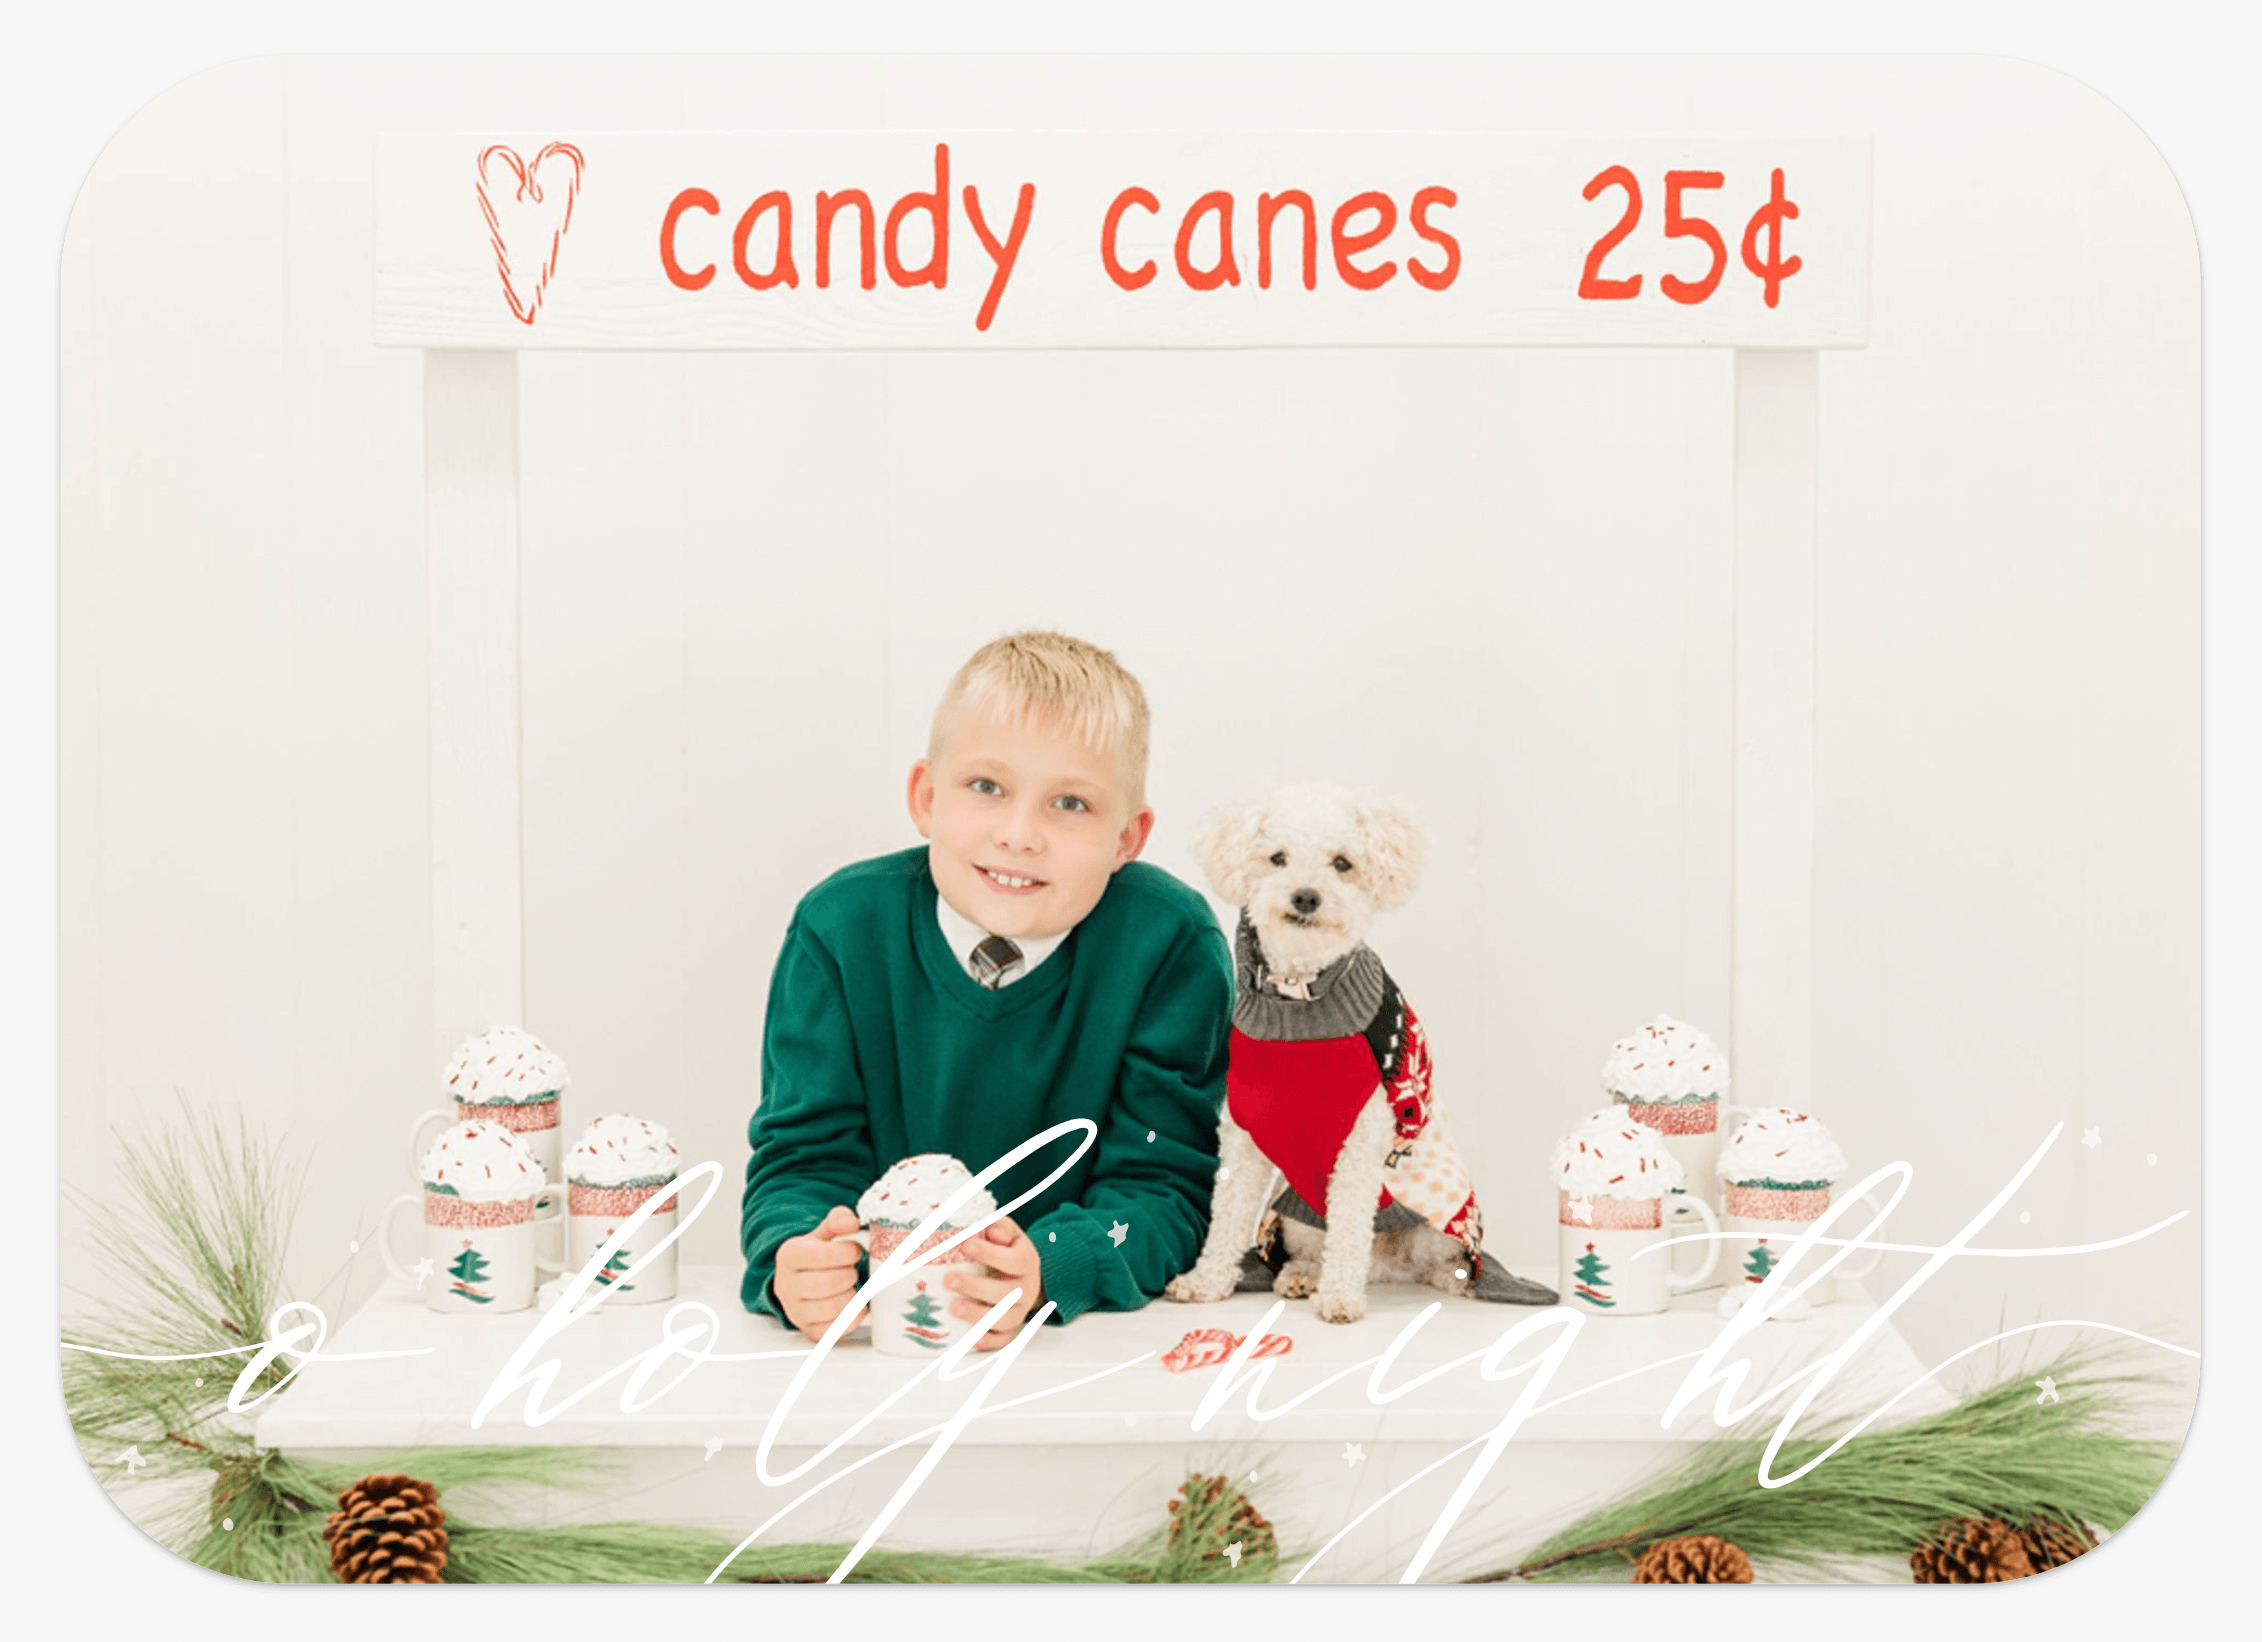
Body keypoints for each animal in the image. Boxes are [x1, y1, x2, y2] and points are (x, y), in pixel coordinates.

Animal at [1167, 782, 1556, 1320]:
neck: (1300, 998)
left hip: (1438, 1223)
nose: (1306, 896)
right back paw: (1301, 1276)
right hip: (1296, 1216)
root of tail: (1387, 1265)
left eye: (1343, 863)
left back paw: (1450, 1280)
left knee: (1433, 1261)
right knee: (1316, 1249)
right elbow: (1226, 1218)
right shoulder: (1242, 1137)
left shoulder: (1359, 1143)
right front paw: (1205, 1283)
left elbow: (1350, 1228)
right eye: (1277, 858)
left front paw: (1339, 1299)